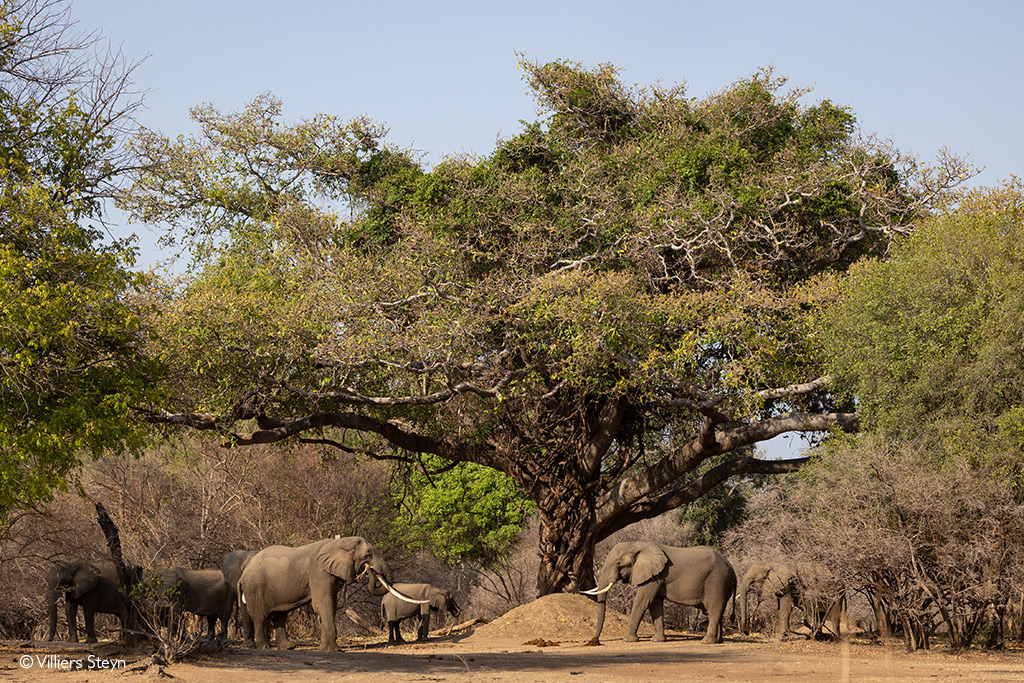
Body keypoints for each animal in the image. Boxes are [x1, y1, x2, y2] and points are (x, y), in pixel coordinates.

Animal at [237, 532, 425, 651]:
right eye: (368, 554)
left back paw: (288, 647)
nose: (369, 570)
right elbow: (323, 604)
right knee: (260, 616)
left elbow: (331, 604)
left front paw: (326, 648)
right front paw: (333, 650)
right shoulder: (319, 572)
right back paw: (264, 647)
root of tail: (243, 574)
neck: (339, 543)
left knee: (280, 615)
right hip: (255, 588)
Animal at [585, 540, 737, 643]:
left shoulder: (655, 577)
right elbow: (655, 604)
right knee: (718, 612)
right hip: (721, 583)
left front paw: (628, 640)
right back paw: (718, 641)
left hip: (717, 582)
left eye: (618, 563)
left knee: (714, 609)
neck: (638, 545)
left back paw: (706, 642)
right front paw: (657, 640)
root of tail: (731, 567)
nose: (595, 641)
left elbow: (643, 601)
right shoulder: (656, 577)